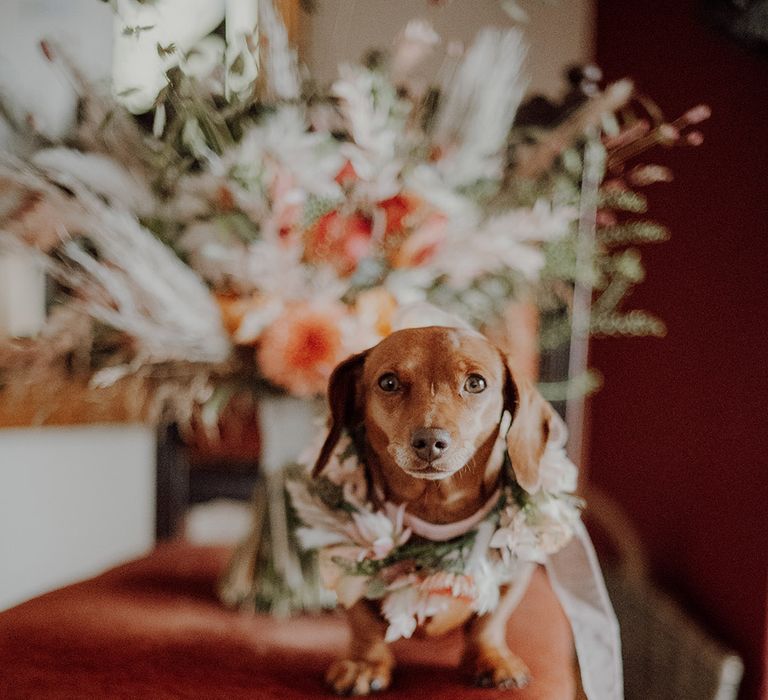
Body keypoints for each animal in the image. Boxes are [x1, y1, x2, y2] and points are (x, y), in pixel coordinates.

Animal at [314, 324, 564, 696]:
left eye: (475, 383)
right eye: (389, 382)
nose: (430, 441)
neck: (434, 509)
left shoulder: (517, 569)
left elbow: (490, 621)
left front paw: (492, 659)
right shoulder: (344, 569)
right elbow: (363, 623)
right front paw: (364, 663)